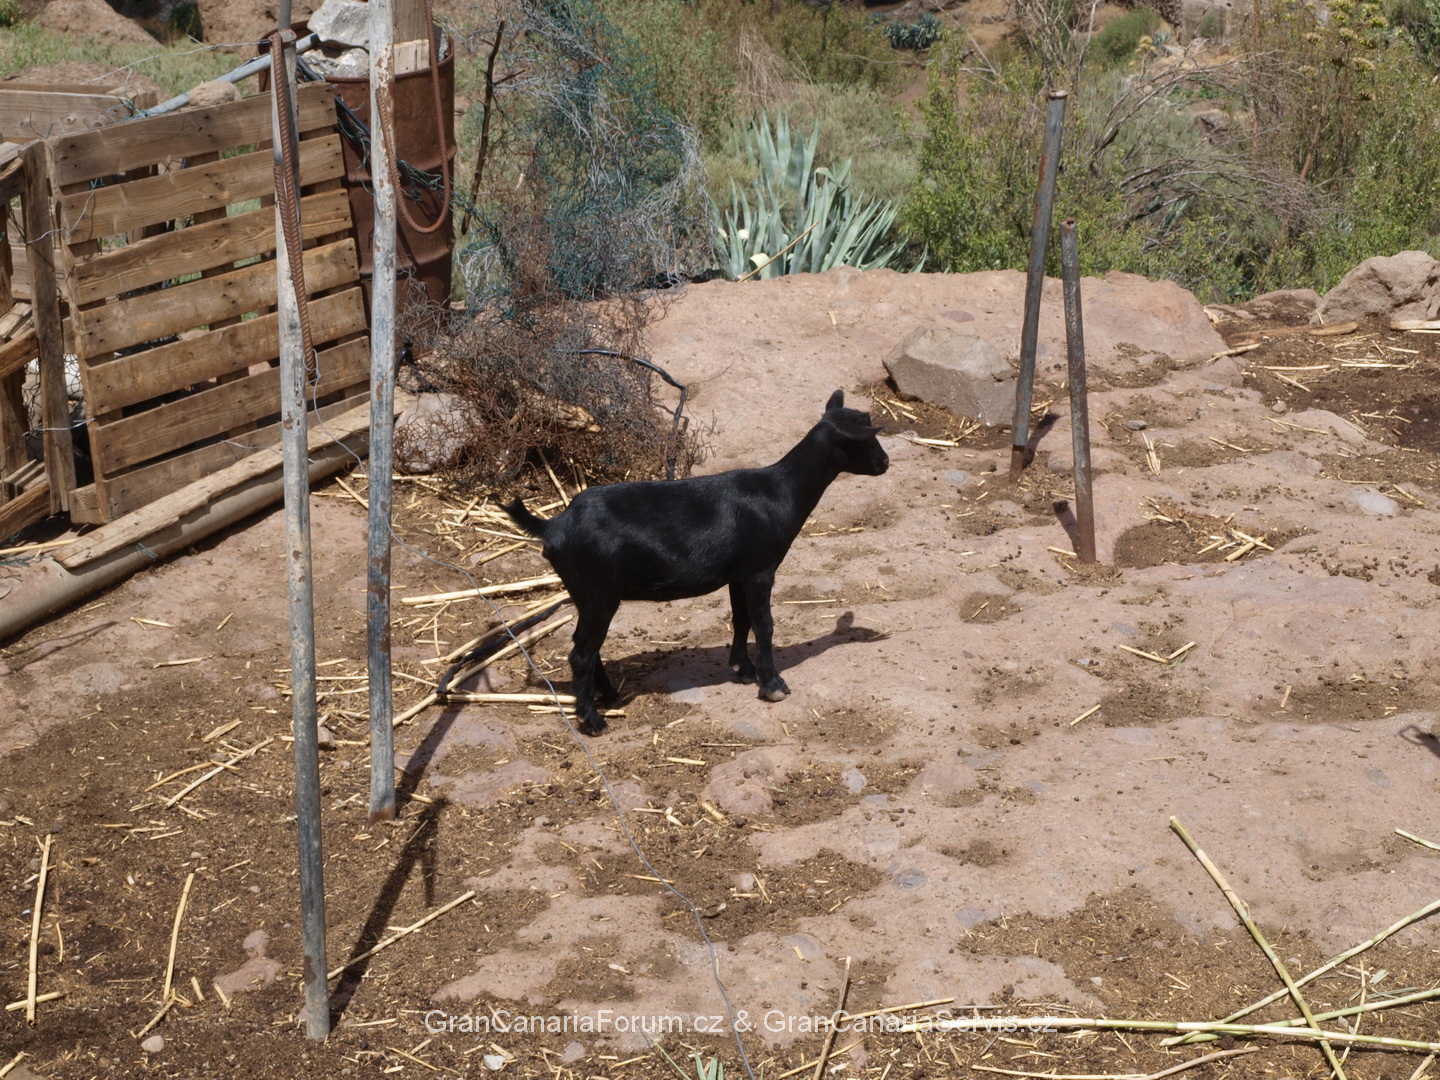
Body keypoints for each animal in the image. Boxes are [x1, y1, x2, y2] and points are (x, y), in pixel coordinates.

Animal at [504, 390, 890, 735]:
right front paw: (772, 684)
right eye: (865, 437)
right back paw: (594, 722)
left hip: (588, 595)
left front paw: (743, 669)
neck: (779, 492)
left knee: (586, 645)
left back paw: (612, 696)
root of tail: (553, 526)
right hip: (598, 591)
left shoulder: (738, 573)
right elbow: (764, 624)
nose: (885, 463)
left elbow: (741, 619)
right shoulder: (760, 568)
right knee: (580, 654)